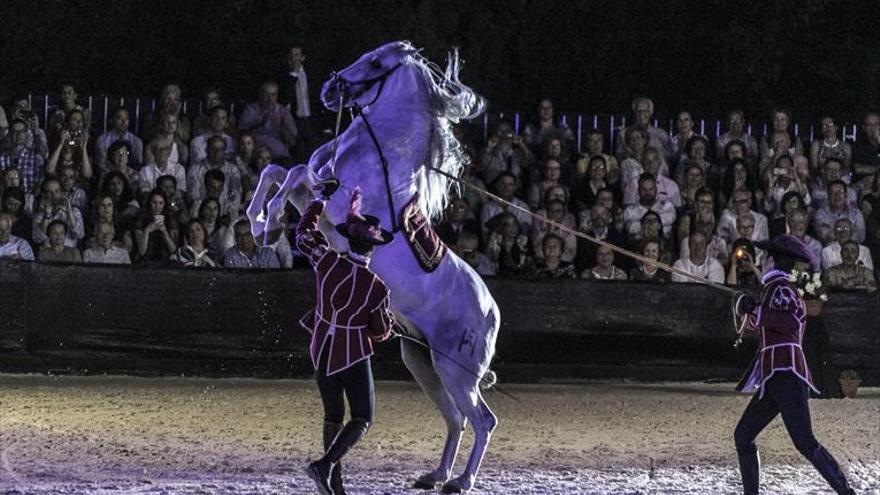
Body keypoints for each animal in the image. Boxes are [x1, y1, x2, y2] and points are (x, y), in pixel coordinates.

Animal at [246, 41, 502, 492]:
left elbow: (294, 171)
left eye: (377, 62)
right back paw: (435, 475)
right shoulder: (317, 199)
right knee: (456, 418)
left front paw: (269, 222)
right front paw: (261, 222)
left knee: (483, 420)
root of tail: (492, 311)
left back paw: (461, 481)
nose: (329, 88)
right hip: (423, 362)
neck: (380, 160)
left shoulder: (333, 205)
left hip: (459, 374)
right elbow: (278, 170)